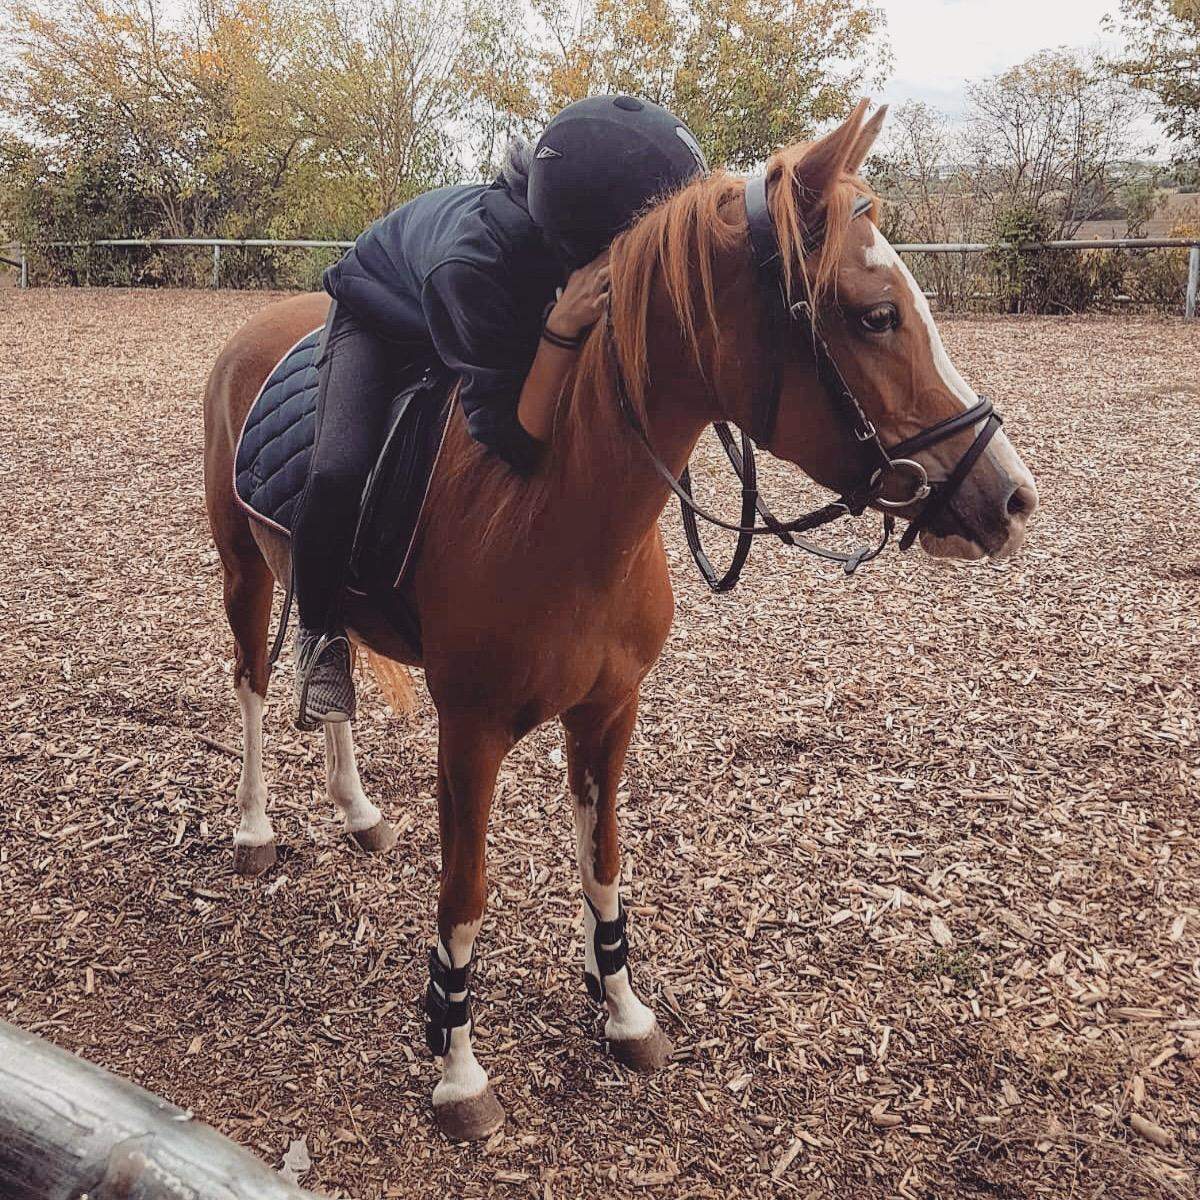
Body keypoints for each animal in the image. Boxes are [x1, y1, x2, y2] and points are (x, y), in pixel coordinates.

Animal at [202, 100, 1038, 1140]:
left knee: (330, 667)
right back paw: (254, 830)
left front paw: (625, 1011)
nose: (1012, 497)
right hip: (244, 568)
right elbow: (465, 895)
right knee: (249, 684)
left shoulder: (609, 713)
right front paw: (459, 1070)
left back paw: (357, 811)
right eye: (875, 314)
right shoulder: (469, 733)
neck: (558, 502)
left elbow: (603, 864)